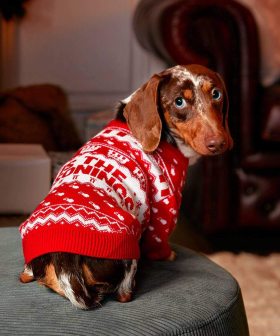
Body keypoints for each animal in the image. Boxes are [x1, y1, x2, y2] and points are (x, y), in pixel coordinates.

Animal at [19, 64, 233, 308]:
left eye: (216, 94)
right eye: (179, 101)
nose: (218, 143)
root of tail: (65, 261)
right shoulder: (165, 207)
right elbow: (159, 242)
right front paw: (168, 255)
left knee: (26, 275)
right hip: (129, 246)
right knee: (123, 293)